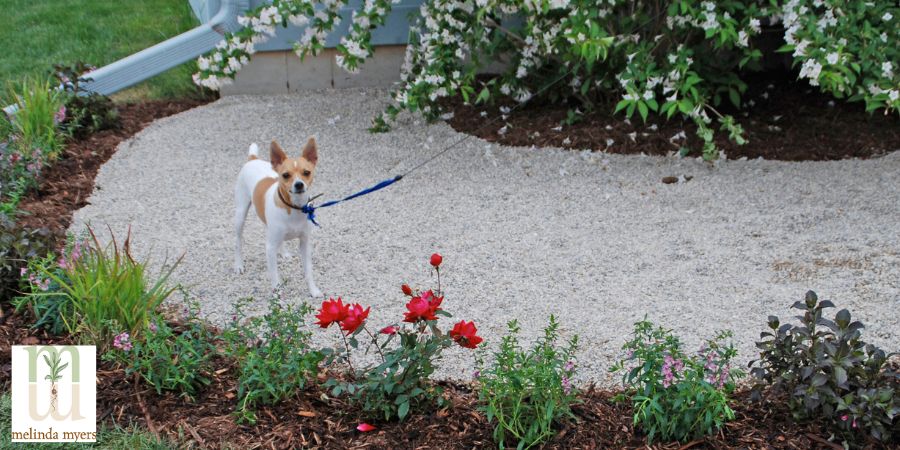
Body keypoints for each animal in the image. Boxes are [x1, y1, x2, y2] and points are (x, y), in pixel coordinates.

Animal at [234, 139, 322, 298]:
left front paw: (313, 290)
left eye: (306, 172)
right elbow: (275, 276)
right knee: (238, 241)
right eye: (285, 175)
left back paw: (284, 253)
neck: (295, 208)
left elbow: (308, 271)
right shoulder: (269, 248)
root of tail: (253, 159)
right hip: (240, 215)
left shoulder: (305, 244)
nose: (299, 184)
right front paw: (277, 295)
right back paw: (238, 265)